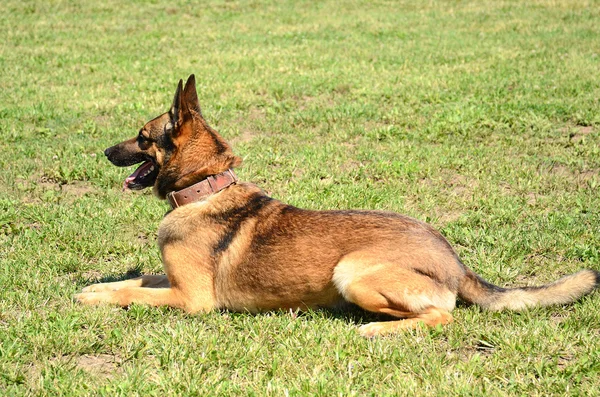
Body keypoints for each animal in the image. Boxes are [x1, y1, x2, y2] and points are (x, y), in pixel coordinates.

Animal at [75, 74, 600, 334]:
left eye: (142, 138)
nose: (104, 152)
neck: (207, 187)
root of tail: (454, 261)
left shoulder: (192, 299)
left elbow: (135, 294)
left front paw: (98, 297)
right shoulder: (173, 279)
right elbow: (136, 279)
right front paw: (96, 287)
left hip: (352, 272)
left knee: (441, 316)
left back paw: (373, 330)